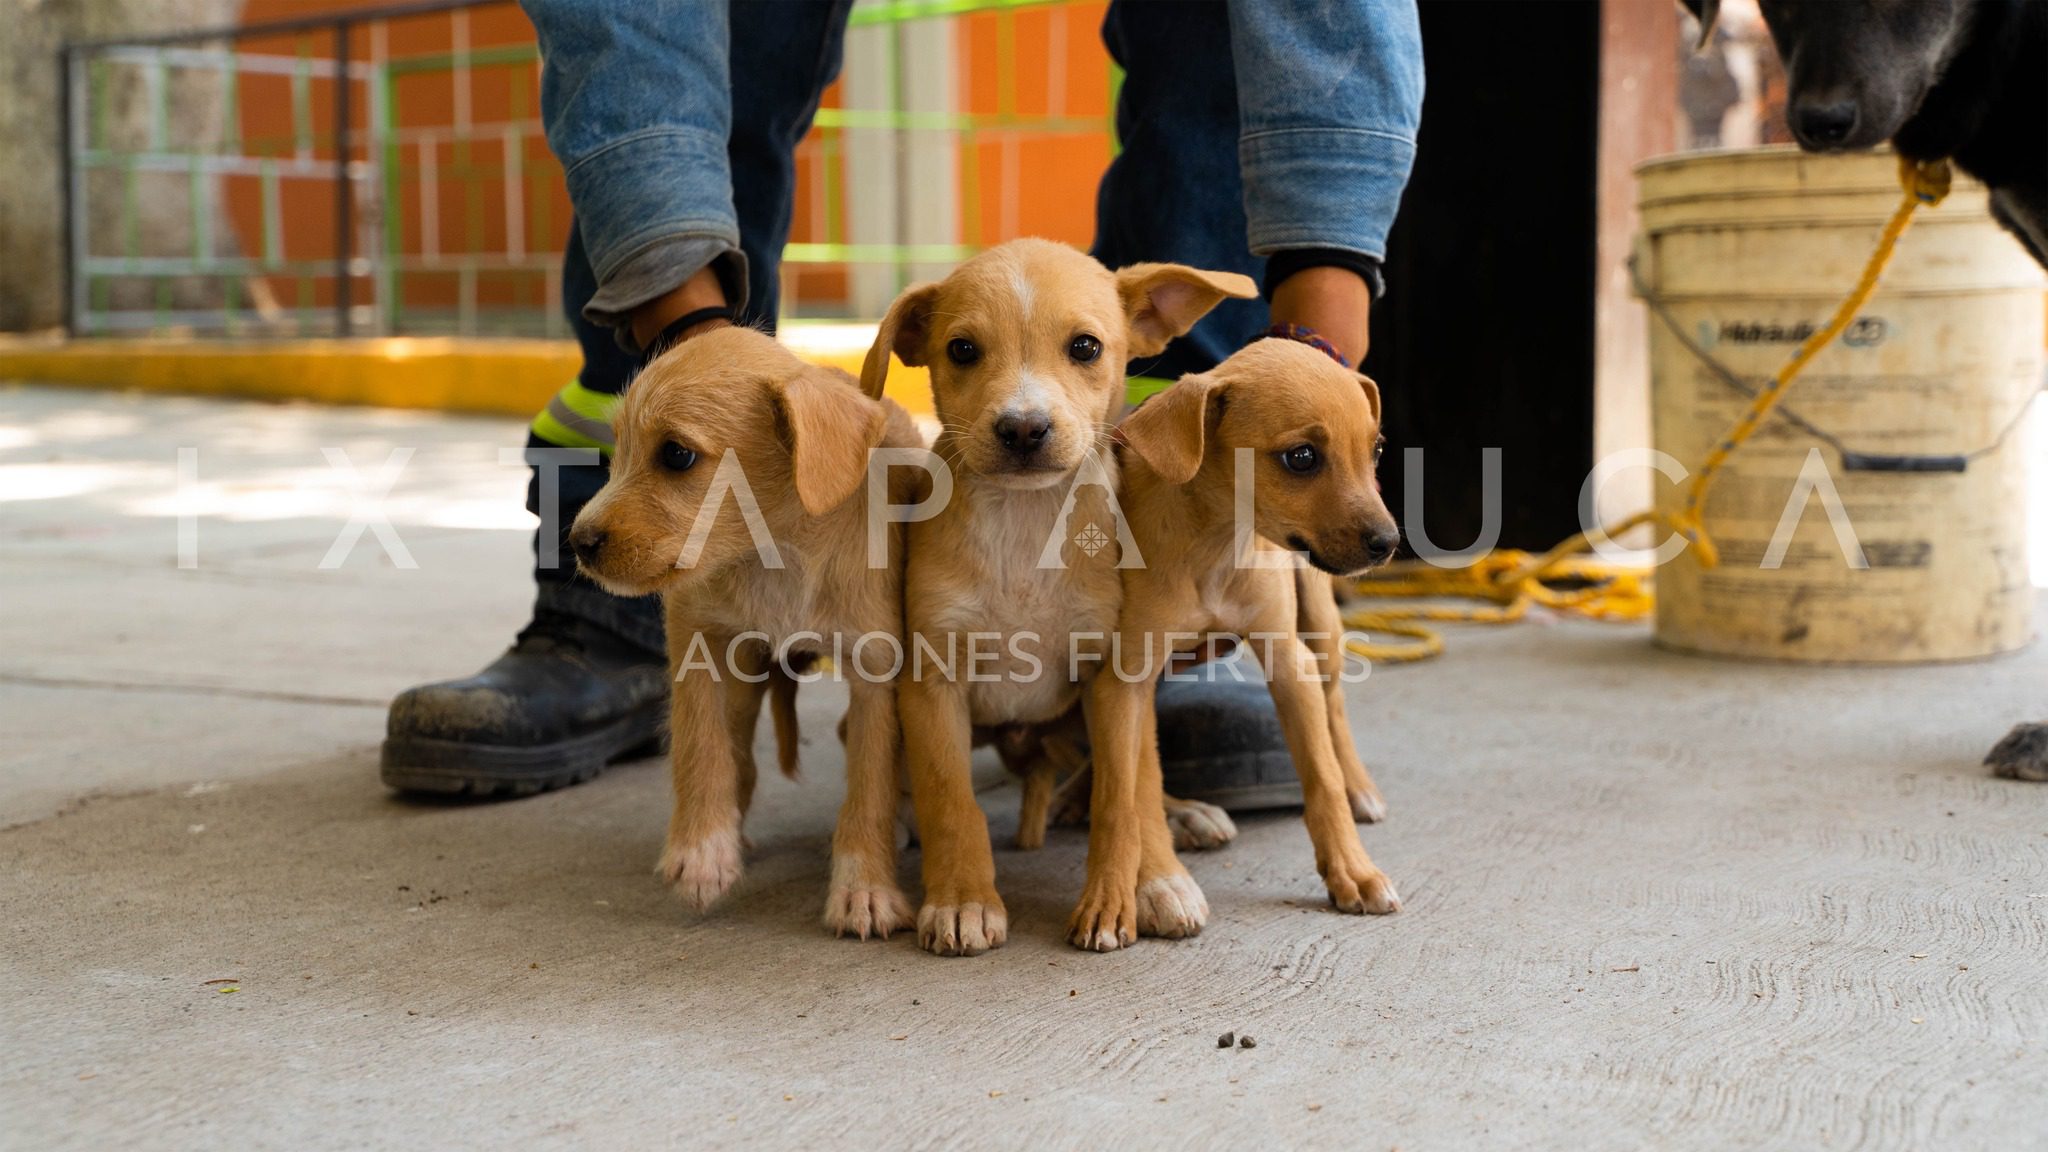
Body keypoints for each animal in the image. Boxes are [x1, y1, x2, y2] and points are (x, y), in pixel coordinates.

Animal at [569, 323, 921, 934]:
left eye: (677, 454)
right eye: (619, 448)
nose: (578, 542)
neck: (773, 555)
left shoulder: (876, 671)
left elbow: (870, 781)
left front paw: (864, 887)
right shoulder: (696, 640)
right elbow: (702, 747)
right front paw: (702, 851)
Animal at [860, 237, 1253, 955]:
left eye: (1086, 347)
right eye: (962, 350)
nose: (1022, 429)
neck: (1026, 526)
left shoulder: (1116, 677)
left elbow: (1130, 794)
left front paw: (1153, 883)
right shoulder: (932, 682)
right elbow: (950, 797)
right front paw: (962, 900)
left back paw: (1181, 816)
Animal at [1081, 336, 1400, 947]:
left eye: (1374, 450)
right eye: (1301, 457)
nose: (1389, 543)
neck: (1217, 542)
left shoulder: (1288, 661)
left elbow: (1322, 778)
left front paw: (1353, 871)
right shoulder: (1125, 679)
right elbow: (1124, 795)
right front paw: (1123, 895)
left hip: (1320, 626)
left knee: (1335, 706)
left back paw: (1362, 789)